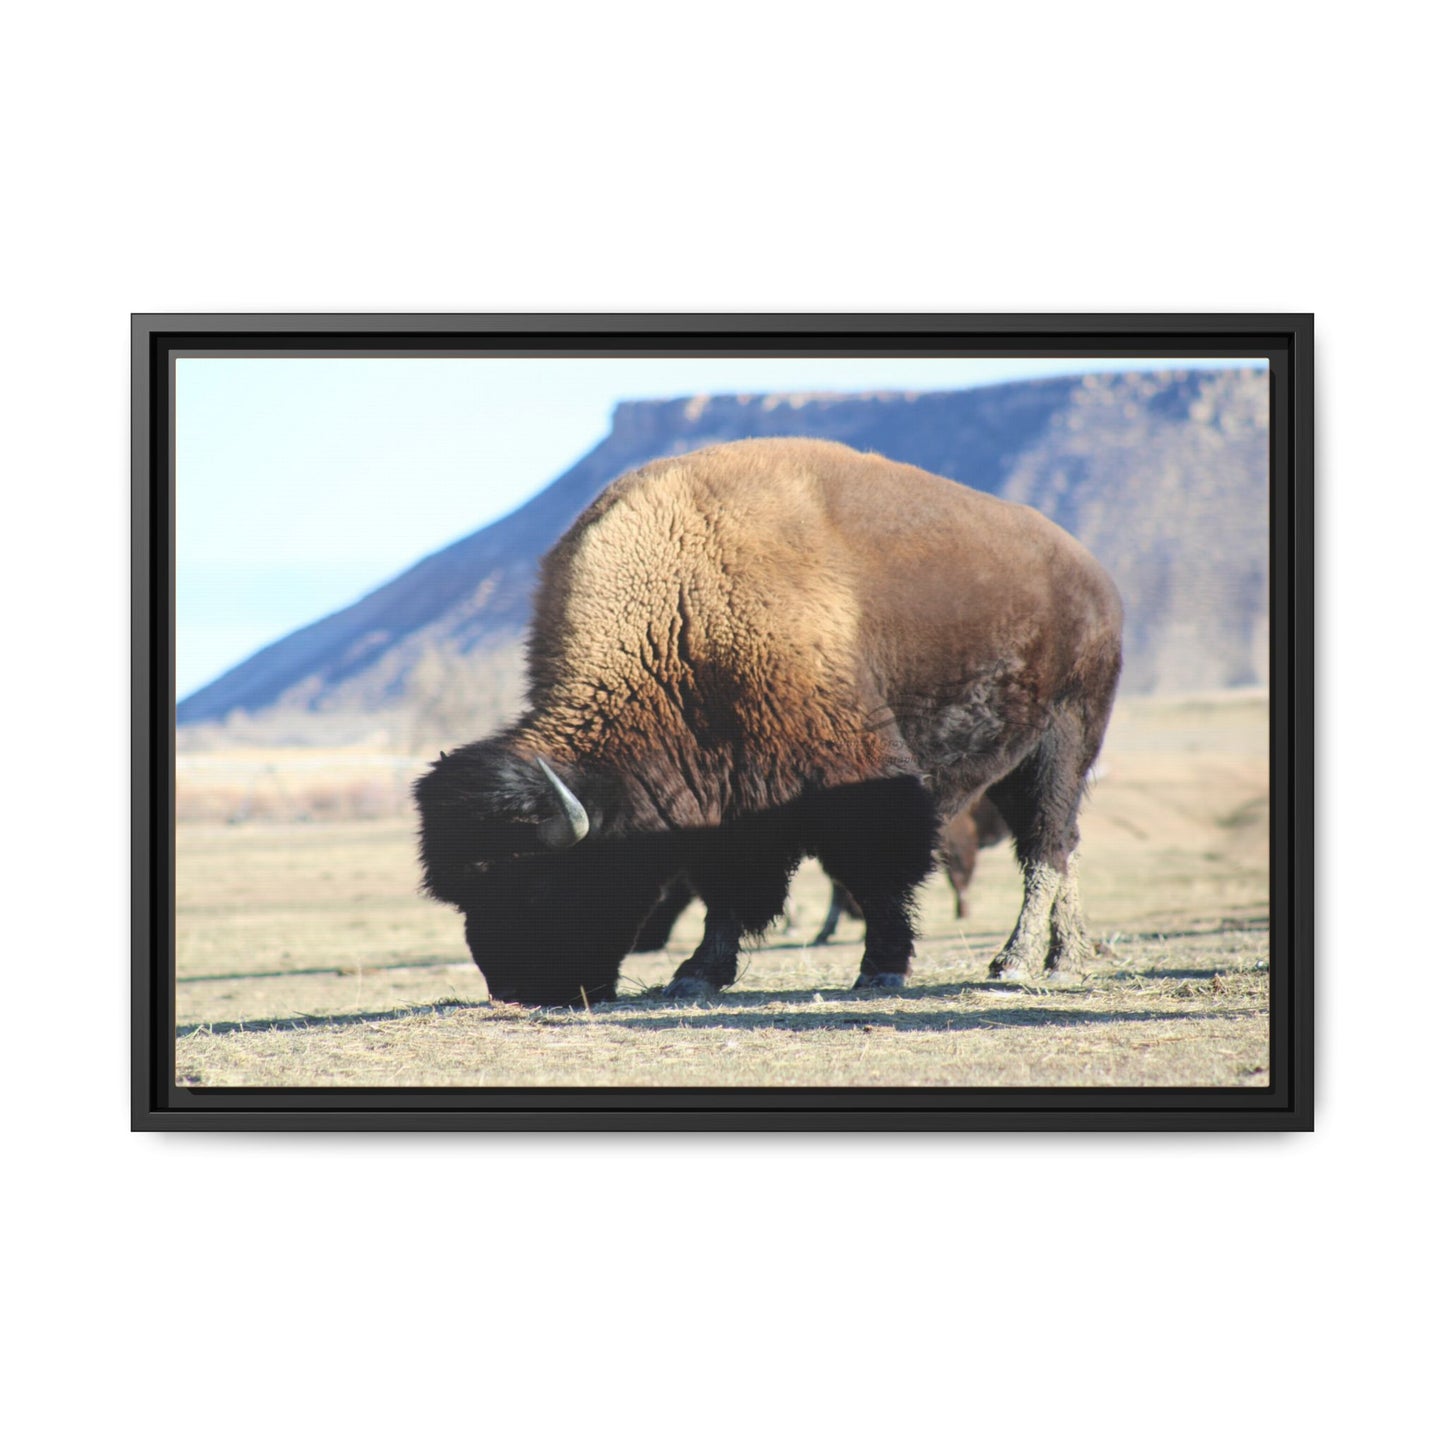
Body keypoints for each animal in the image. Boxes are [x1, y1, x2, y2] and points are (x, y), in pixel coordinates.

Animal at [414, 437, 1123, 1006]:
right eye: (464, 896)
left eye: (535, 883)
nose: (518, 989)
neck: (679, 615)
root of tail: (1093, 576)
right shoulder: (725, 801)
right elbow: (727, 890)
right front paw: (695, 975)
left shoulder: (855, 777)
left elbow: (878, 873)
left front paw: (881, 969)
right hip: (1016, 762)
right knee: (1059, 846)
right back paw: (1065, 957)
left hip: (1064, 740)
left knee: (1046, 845)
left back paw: (1021, 963)